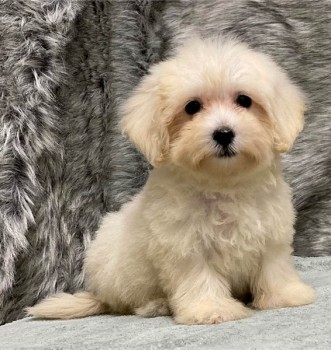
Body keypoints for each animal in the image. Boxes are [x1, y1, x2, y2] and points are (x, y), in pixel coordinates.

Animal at [27, 37, 316, 326]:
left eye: (244, 100)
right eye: (192, 107)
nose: (223, 133)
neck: (223, 183)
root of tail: (99, 294)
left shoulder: (271, 232)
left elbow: (273, 266)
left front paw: (284, 295)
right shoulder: (184, 245)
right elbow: (199, 277)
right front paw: (211, 309)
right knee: (127, 303)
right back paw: (156, 305)